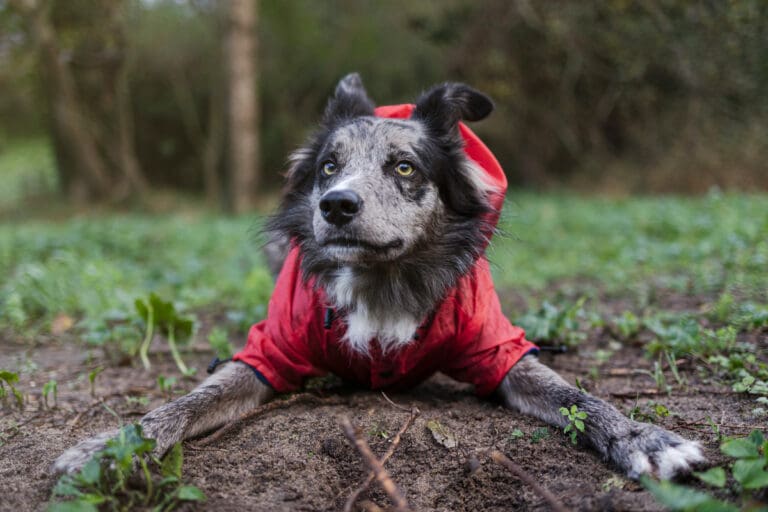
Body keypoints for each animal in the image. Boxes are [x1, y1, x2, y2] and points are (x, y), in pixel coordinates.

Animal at [52, 74, 704, 482]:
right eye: (328, 166)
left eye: (405, 167)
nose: (336, 205)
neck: (383, 278)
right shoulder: (266, 353)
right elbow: (187, 402)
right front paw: (112, 445)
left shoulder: (500, 352)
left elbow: (580, 398)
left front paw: (643, 437)